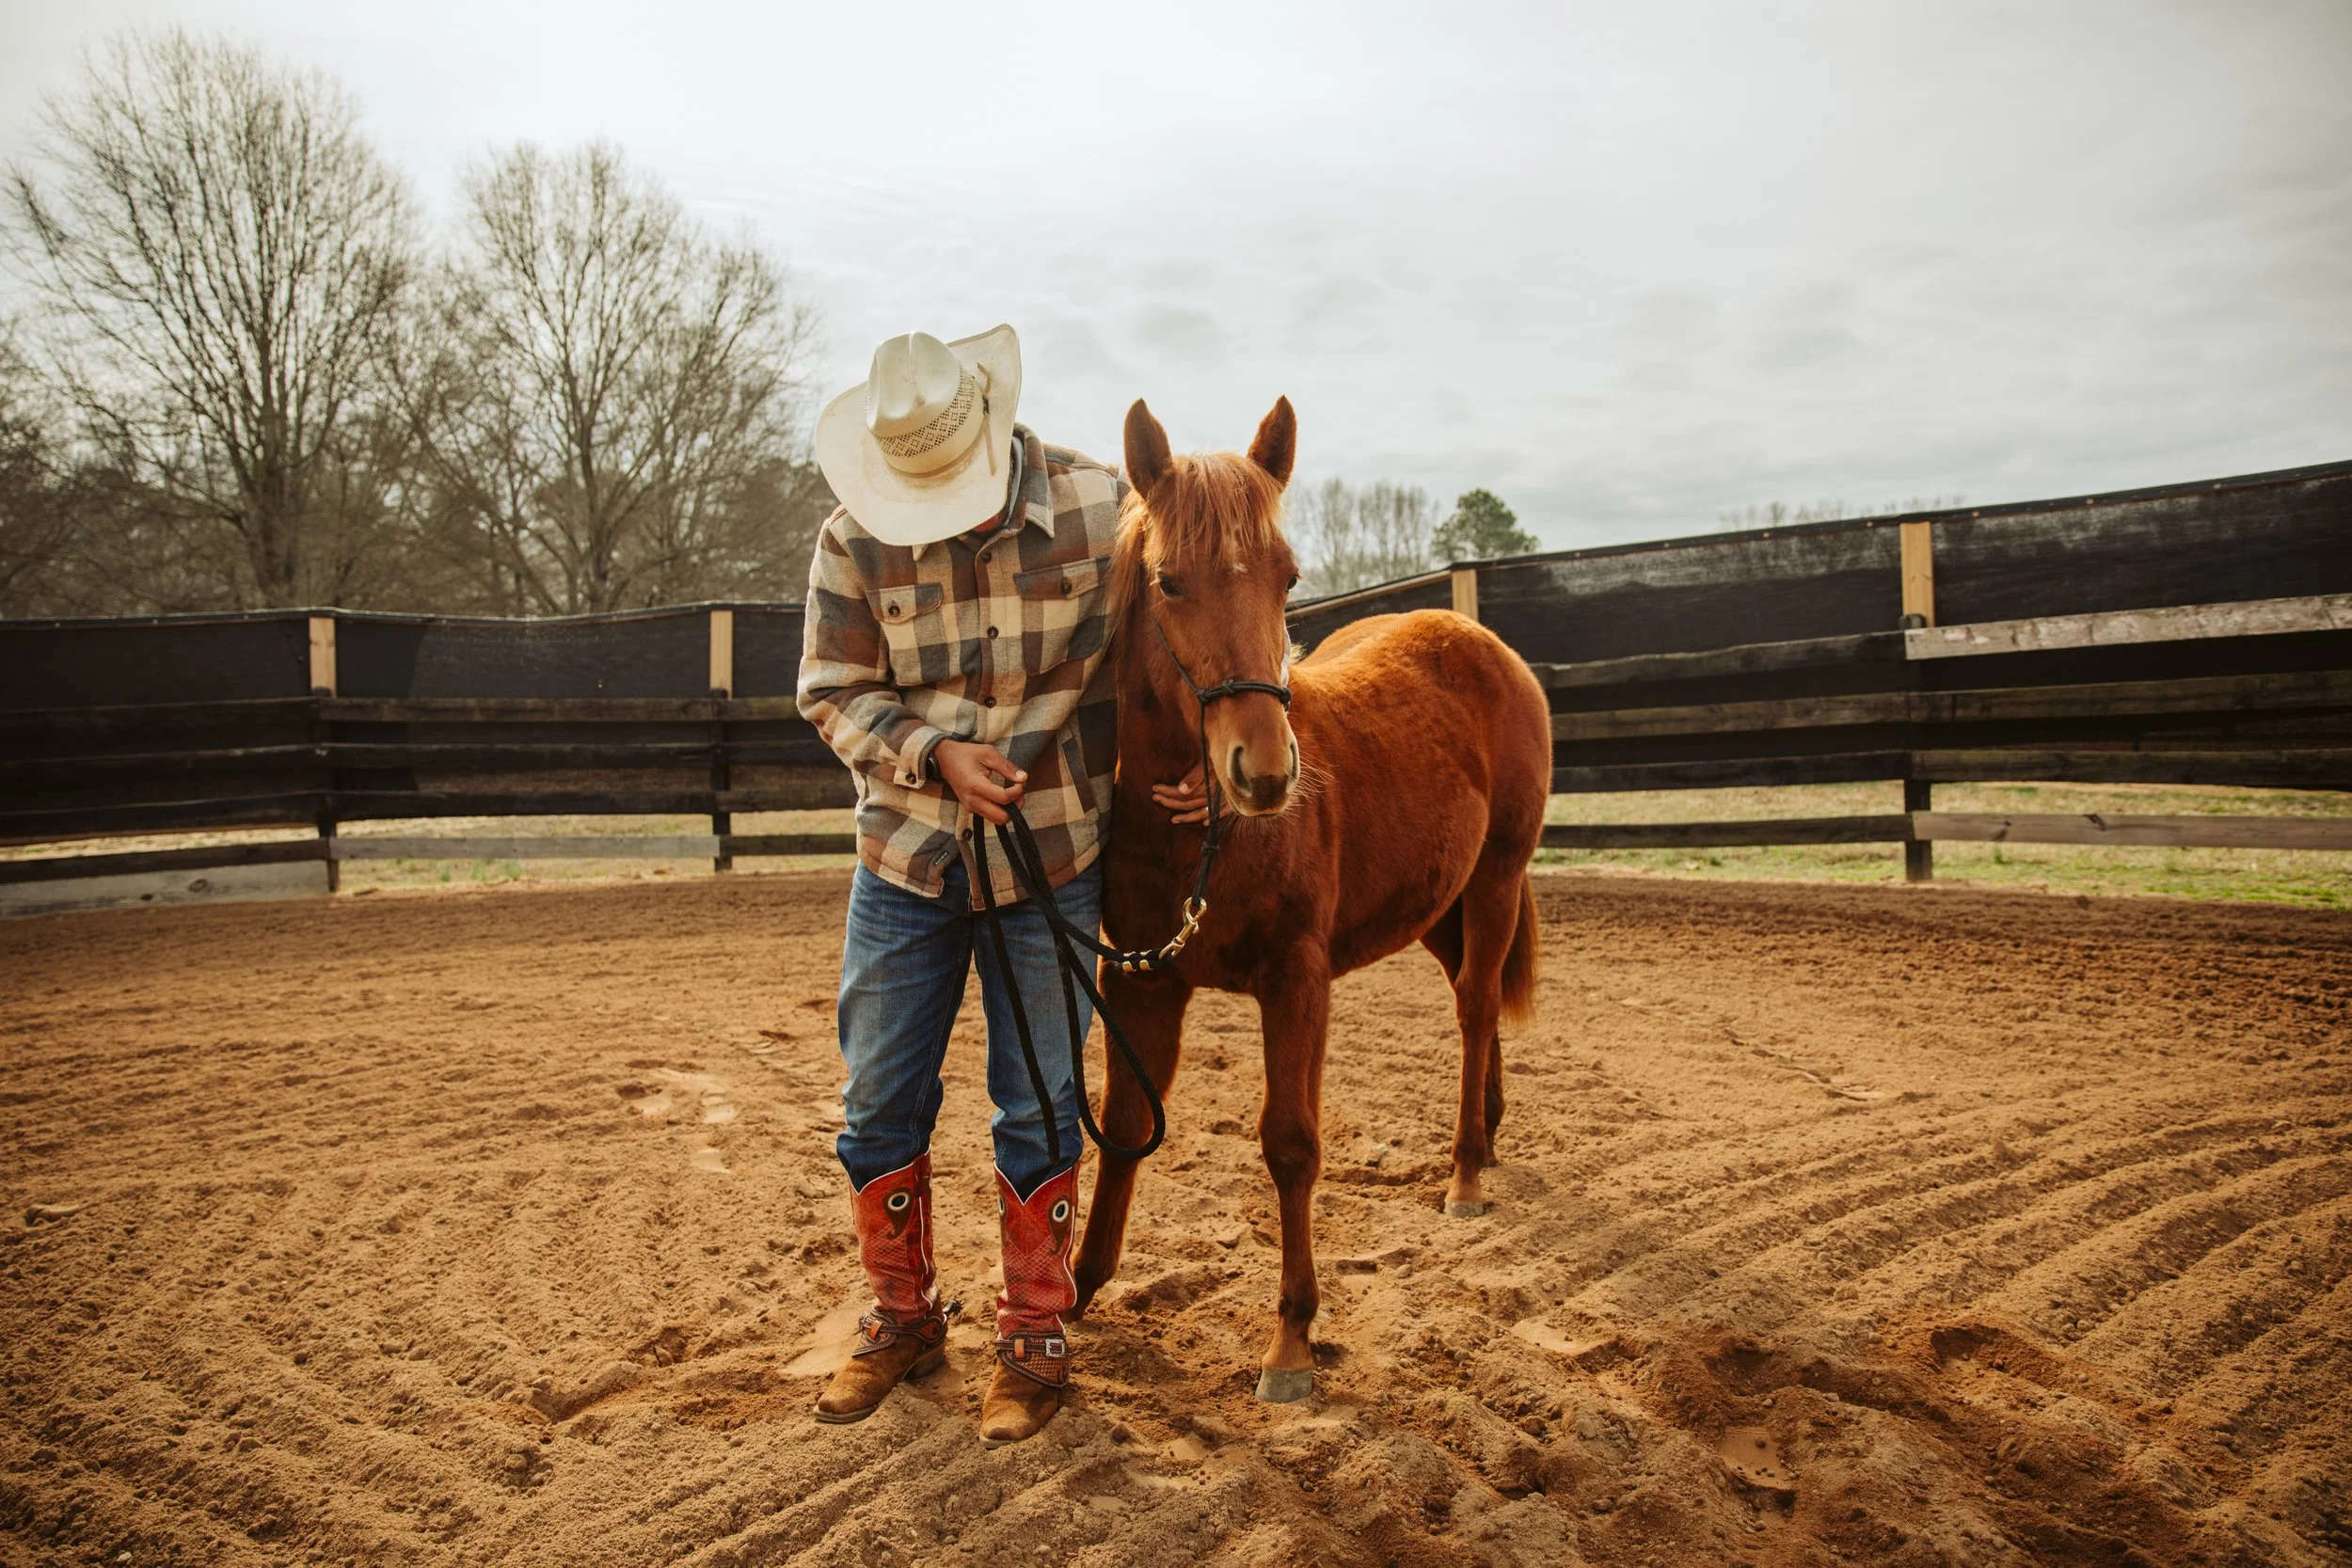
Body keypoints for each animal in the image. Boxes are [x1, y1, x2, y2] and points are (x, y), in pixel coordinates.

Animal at [1069, 395, 1554, 1401]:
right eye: (1168, 581)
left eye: (1288, 577)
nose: (1264, 771)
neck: (1202, 837)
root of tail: (1482, 644)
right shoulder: (1141, 981)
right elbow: (1127, 1124)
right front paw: (1078, 1289)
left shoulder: (1297, 979)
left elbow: (1290, 1143)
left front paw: (1291, 1339)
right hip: (1436, 905)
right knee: (1479, 999)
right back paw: (1486, 1136)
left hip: (1494, 879)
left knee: (1477, 1006)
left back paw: (1465, 1174)